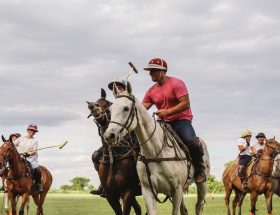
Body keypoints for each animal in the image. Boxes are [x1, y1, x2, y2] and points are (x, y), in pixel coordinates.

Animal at [104, 82, 209, 215]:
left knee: (198, 206)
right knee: (184, 210)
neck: (154, 152)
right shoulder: (148, 191)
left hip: (202, 185)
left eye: (126, 108)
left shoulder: (177, 190)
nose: (109, 136)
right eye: (110, 110)